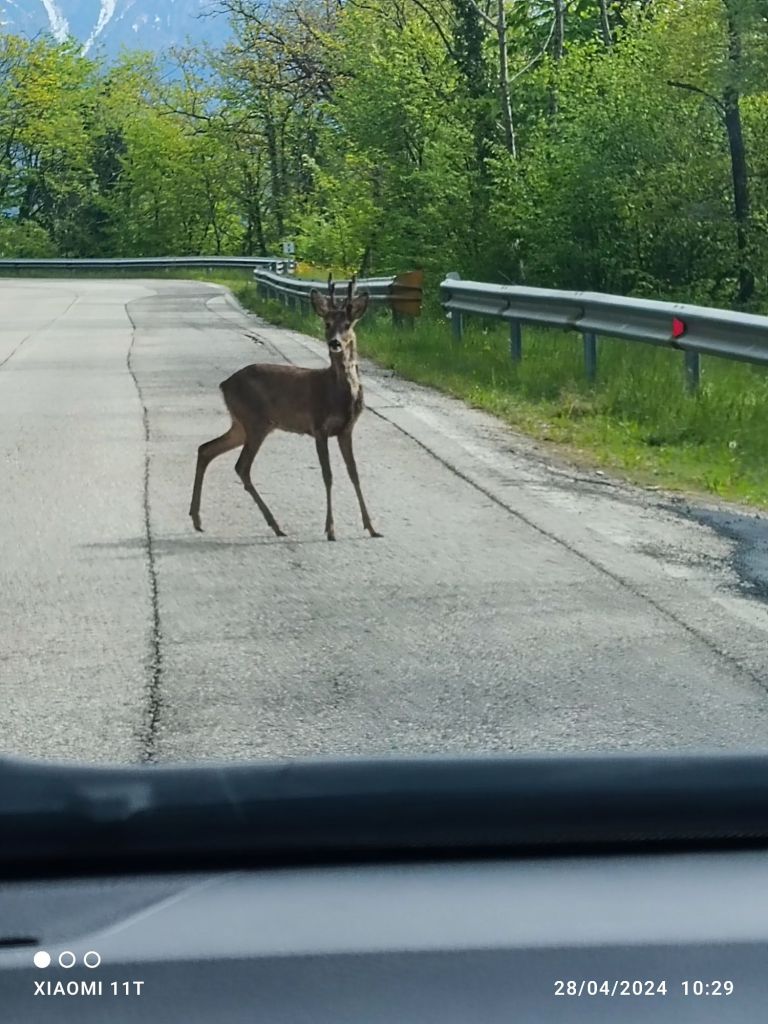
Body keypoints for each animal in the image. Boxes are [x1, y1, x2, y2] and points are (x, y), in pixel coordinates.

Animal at [189, 273, 382, 542]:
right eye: (327, 323)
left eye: (347, 324)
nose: (335, 343)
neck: (338, 392)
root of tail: (224, 384)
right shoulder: (319, 426)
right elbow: (328, 475)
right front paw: (330, 529)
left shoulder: (346, 429)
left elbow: (354, 473)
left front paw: (371, 527)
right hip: (255, 421)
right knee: (241, 466)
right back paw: (276, 525)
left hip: (241, 424)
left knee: (206, 449)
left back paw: (197, 519)